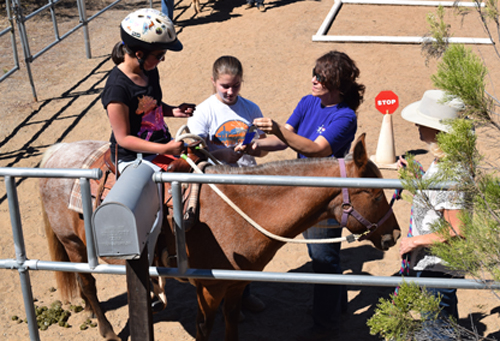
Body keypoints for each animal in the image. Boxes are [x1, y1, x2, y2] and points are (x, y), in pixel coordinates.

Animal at [38, 134, 398, 338]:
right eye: (374, 194)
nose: (393, 234)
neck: (240, 210)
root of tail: (56, 150)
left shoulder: (236, 284)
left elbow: (232, 322)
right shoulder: (209, 289)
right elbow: (204, 326)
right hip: (74, 244)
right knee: (87, 284)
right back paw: (107, 330)